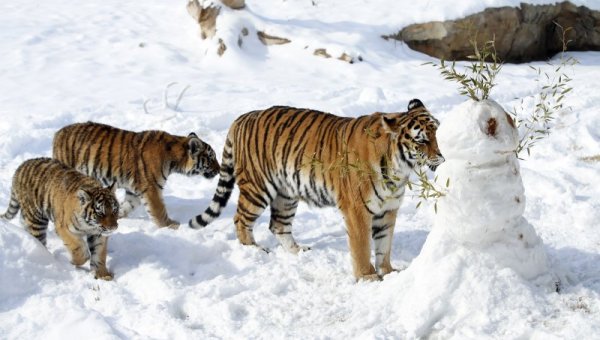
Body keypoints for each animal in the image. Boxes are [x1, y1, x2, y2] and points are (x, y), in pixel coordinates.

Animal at [52, 122, 220, 228]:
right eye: (211, 158)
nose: (219, 170)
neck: (175, 159)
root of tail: (58, 134)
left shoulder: (134, 190)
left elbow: (128, 205)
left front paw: (117, 216)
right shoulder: (151, 188)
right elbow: (159, 210)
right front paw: (170, 225)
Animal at [190, 99, 442, 280]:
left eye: (436, 134)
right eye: (421, 141)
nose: (441, 157)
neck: (398, 166)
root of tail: (242, 117)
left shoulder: (388, 210)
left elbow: (384, 245)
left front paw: (388, 272)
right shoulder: (357, 210)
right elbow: (362, 246)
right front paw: (367, 277)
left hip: (286, 194)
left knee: (278, 225)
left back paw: (298, 252)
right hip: (257, 188)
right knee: (241, 219)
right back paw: (255, 251)